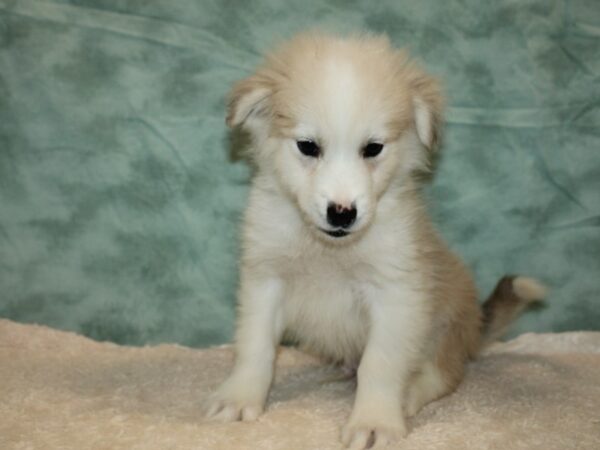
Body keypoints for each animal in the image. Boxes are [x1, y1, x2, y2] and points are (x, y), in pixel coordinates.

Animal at [205, 33, 544, 448]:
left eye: (373, 148)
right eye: (308, 146)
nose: (342, 213)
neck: (329, 251)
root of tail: (476, 325)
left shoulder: (395, 294)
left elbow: (379, 366)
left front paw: (375, 420)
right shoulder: (265, 279)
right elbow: (255, 348)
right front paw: (239, 398)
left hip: (446, 328)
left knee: (444, 374)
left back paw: (410, 393)